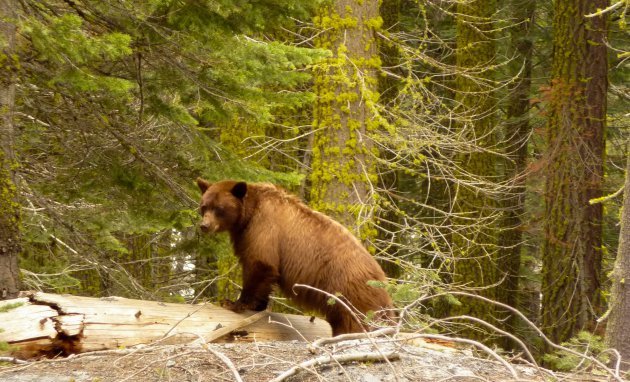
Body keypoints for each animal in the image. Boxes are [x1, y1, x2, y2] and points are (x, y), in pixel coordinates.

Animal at [198, 178, 396, 334]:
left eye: (219, 208)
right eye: (204, 206)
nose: (204, 225)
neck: (249, 213)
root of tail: (382, 278)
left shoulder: (263, 227)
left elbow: (260, 263)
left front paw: (234, 303)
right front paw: (258, 305)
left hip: (348, 289)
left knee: (354, 319)